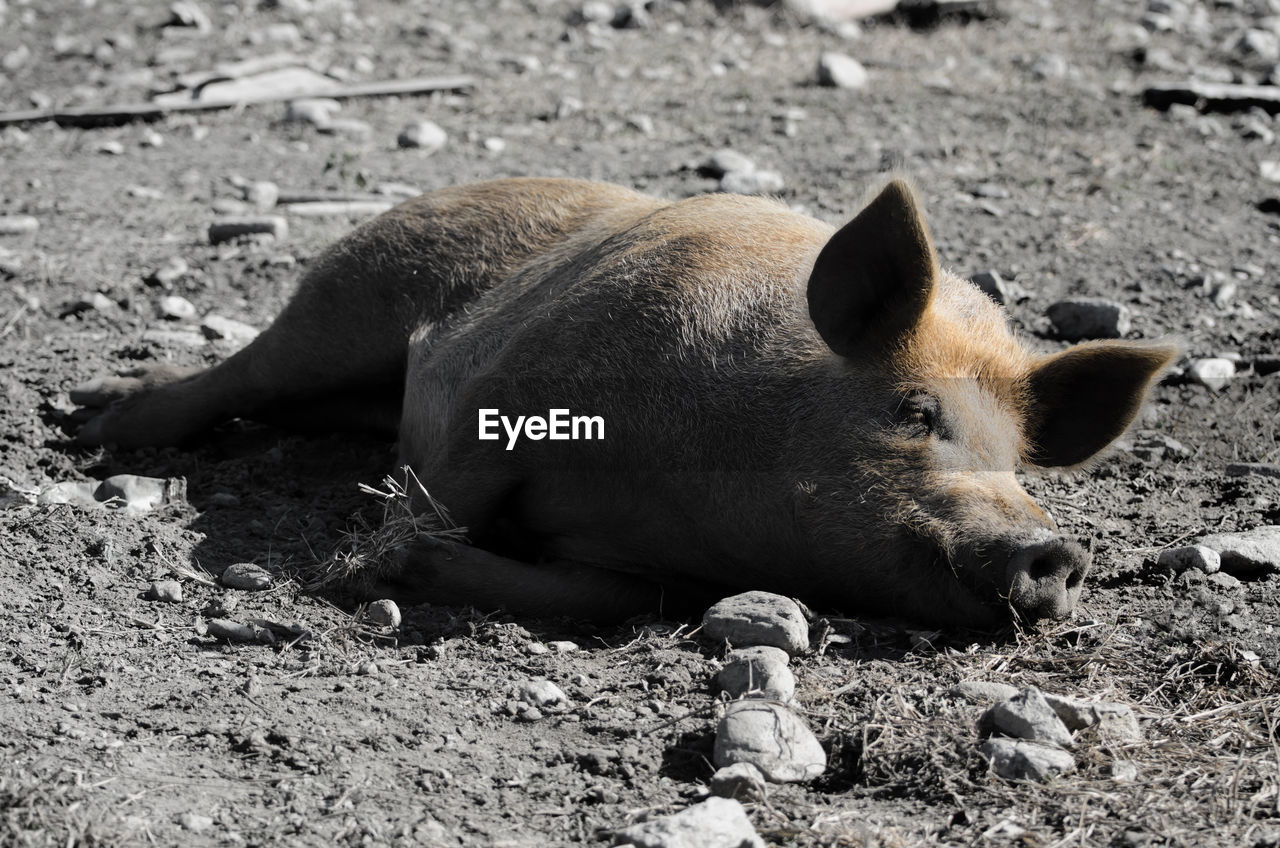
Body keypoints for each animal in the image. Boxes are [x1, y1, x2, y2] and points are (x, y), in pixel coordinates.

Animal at [69, 177, 1176, 626]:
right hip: (346, 298)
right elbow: (439, 494)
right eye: (914, 411)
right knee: (244, 373)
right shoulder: (505, 389)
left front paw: (406, 566)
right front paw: (362, 569)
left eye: (1019, 462)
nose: (1052, 548)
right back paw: (89, 423)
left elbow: (608, 598)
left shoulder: (644, 571)